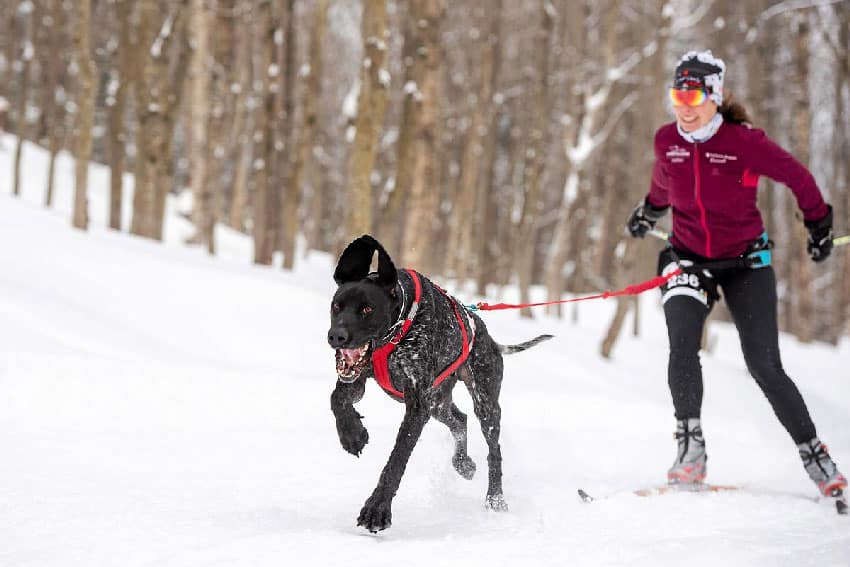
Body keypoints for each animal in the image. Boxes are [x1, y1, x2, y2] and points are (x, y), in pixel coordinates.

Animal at [324, 235, 548, 532]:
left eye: (367, 309)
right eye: (337, 306)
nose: (336, 336)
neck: (399, 328)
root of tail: (491, 340)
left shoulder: (417, 406)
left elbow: (396, 460)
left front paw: (377, 509)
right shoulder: (358, 382)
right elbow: (336, 399)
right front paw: (352, 434)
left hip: (484, 403)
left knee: (494, 450)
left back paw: (495, 499)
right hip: (439, 403)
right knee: (460, 419)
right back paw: (463, 463)